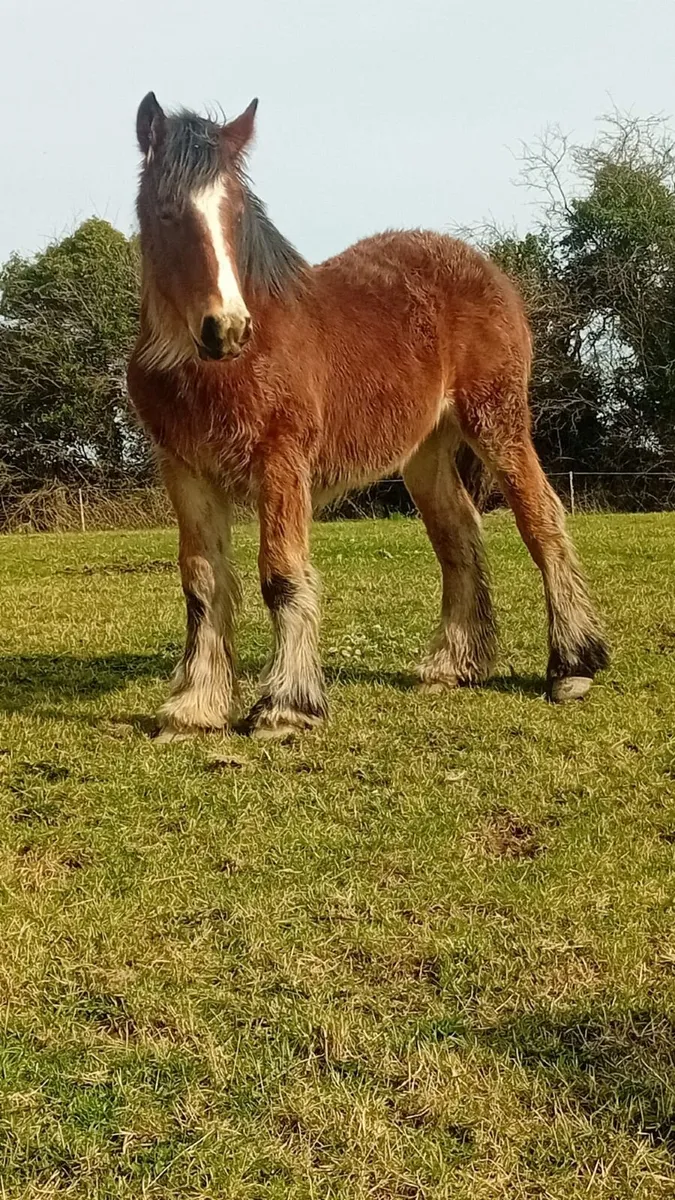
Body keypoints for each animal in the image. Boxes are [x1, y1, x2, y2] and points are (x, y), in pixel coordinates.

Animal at [127, 92, 609, 741]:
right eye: (168, 212)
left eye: (237, 212)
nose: (226, 328)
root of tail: (488, 269)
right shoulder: (185, 471)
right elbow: (202, 582)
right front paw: (194, 708)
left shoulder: (282, 460)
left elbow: (281, 574)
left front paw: (286, 706)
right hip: (426, 451)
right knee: (458, 534)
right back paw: (453, 664)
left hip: (497, 421)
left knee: (542, 520)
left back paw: (572, 668)